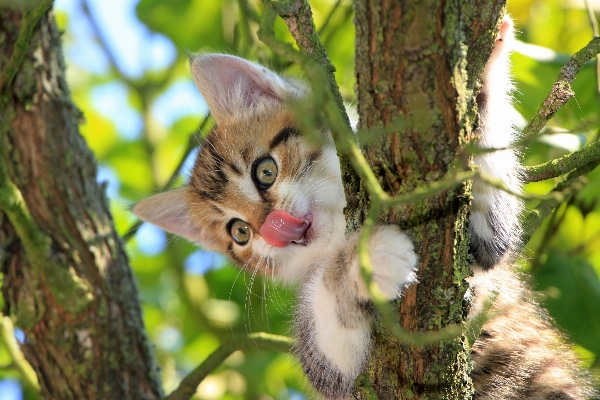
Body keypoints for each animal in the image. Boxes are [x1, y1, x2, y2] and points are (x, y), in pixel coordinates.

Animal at [134, 16, 592, 400]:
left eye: (264, 171)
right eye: (239, 233)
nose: (273, 232)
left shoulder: (483, 248)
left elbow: (492, 227)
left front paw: (482, 71)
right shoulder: (341, 375)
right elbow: (333, 332)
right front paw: (367, 260)